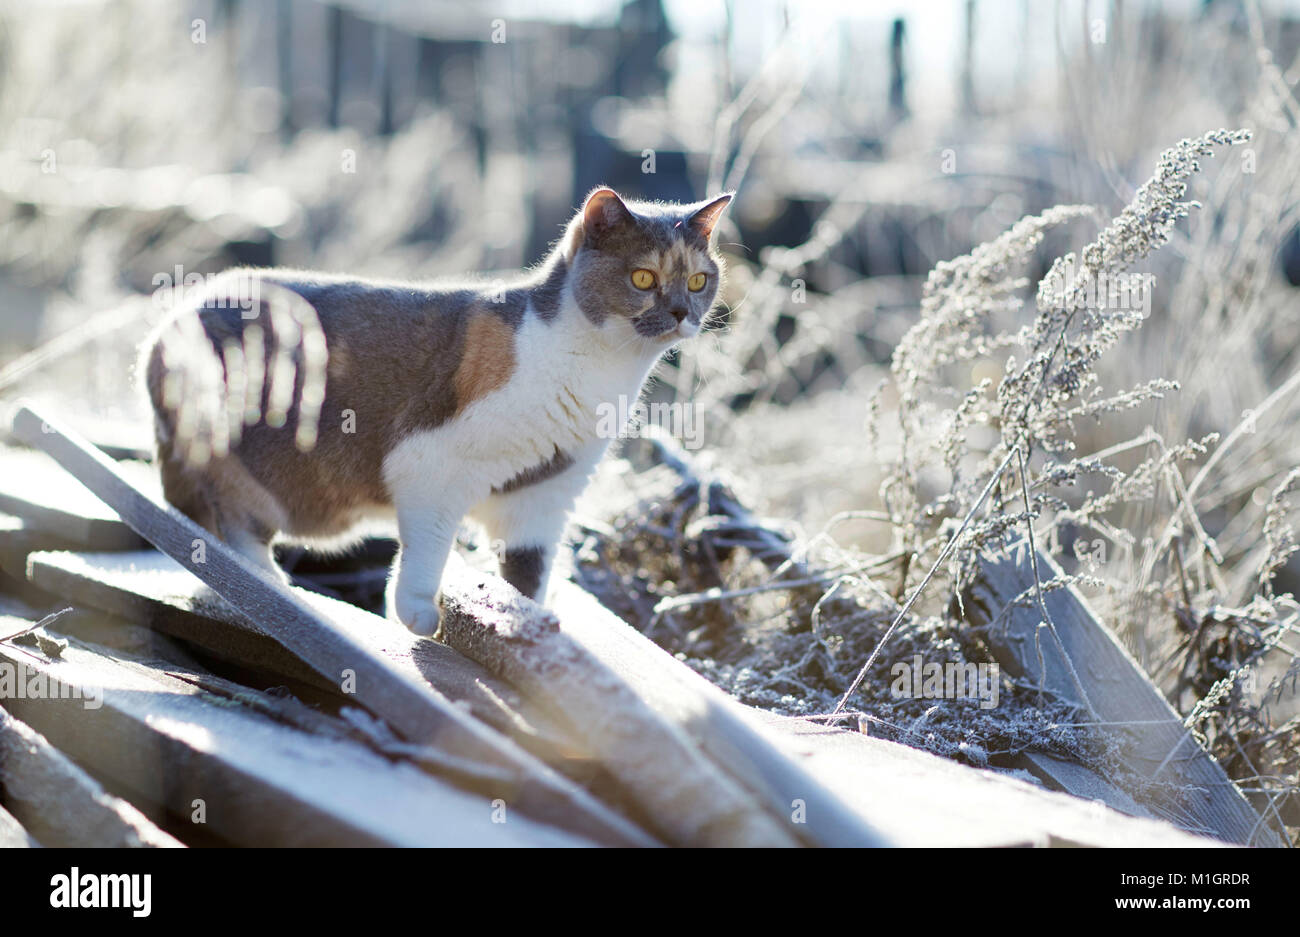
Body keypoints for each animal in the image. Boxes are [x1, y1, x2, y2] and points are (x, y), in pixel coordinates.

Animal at [144, 185, 733, 631]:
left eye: (698, 280)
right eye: (643, 278)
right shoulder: (429, 467)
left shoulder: (544, 497)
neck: (603, 374)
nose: (680, 312)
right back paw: (272, 589)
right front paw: (419, 615)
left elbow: (528, 575)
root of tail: (167, 323)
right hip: (238, 458)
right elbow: (429, 545)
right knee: (234, 531)